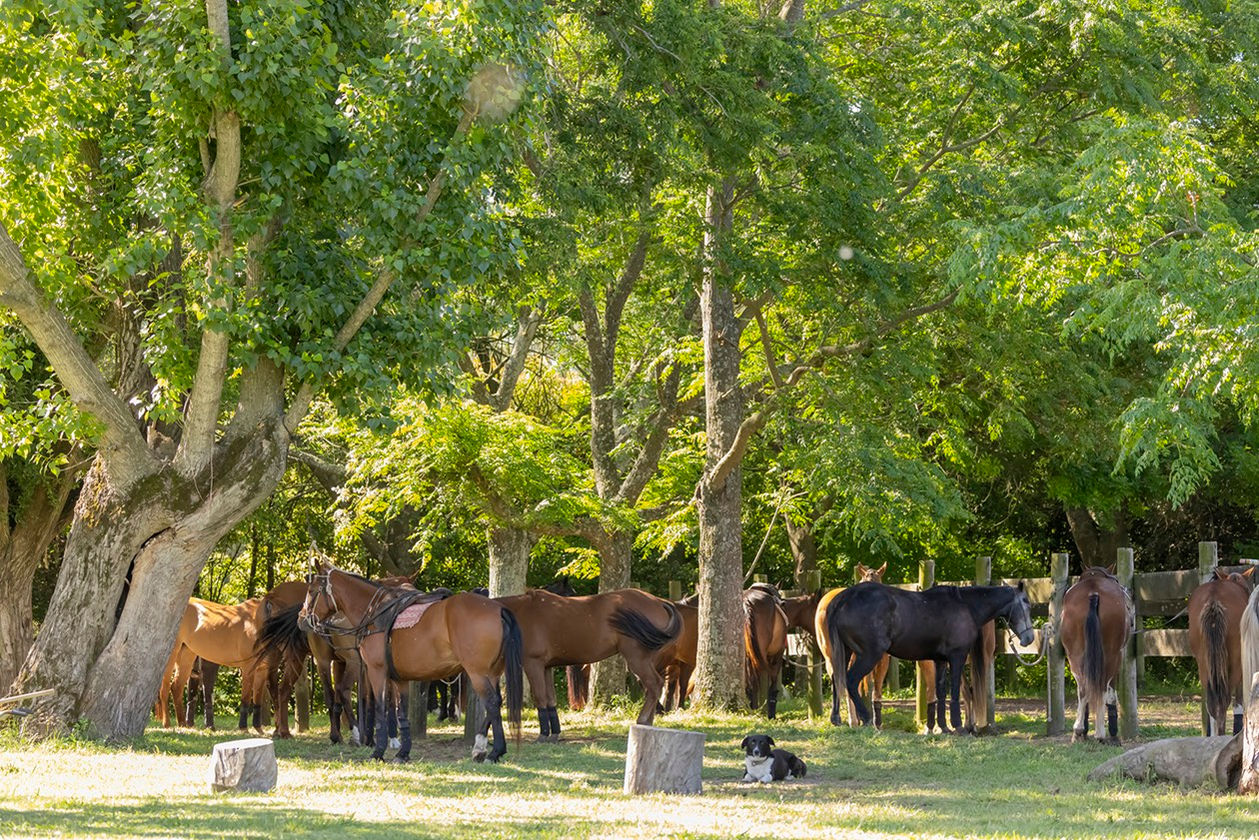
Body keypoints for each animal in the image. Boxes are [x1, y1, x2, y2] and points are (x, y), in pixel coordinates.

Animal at [299, 562, 523, 762]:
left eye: (311, 590)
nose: (301, 619)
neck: (376, 614)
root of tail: (498, 609)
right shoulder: (400, 679)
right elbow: (403, 714)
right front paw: (403, 753)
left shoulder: (377, 671)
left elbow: (380, 708)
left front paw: (378, 752)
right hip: (492, 673)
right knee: (496, 703)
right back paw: (481, 748)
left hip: (477, 673)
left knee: (492, 703)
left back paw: (494, 752)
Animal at [494, 587, 681, 740]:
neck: (523, 612)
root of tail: (658, 602)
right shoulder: (546, 668)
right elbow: (550, 699)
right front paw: (554, 734)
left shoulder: (534, 664)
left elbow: (540, 698)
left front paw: (543, 735)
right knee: (654, 687)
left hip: (637, 659)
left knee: (654, 684)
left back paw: (642, 720)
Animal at [820, 580, 1034, 730]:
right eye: (1026, 603)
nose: (1029, 638)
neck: (965, 606)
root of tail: (844, 598)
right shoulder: (957, 657)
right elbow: (953, 691)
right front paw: (957, 724)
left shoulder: (940, 660)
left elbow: (940, 692)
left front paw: (943, 726)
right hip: (869, 655)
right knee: (850, 680)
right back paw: (866, 718)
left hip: (844, 653)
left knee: (836, 679)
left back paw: (836, 718)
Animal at [1059, 566, 1133, 744]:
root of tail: (1093, 593)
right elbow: (1110, 694)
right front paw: (1112, 733)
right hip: (1111, 657)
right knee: (1101, 687)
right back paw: (1100, 733)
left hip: (1075, 656)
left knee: (1083, 688)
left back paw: (1079, 730)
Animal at [1188, 568, 1255, 735]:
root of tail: (1214, 599)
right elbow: (1239, 701)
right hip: (1234, 664)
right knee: (1224, 701)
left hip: (1204, 663)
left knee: (1212, 704)